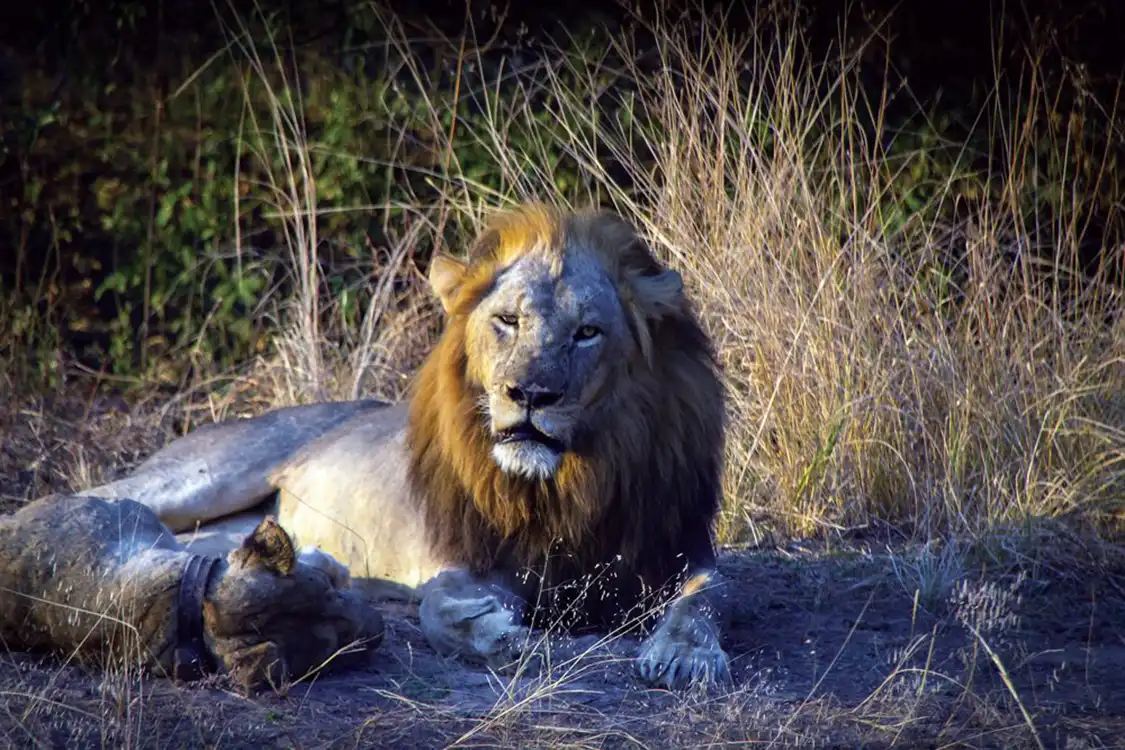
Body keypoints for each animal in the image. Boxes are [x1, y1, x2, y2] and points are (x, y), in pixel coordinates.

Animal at [88, 204, 732, 688]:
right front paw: (501, 635)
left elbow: (706, 599)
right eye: (506, 321)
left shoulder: (676, 548)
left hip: (221, 533)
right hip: (205, 474)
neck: (566, 484)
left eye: (587, 332)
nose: (529, 393)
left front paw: (685, 656)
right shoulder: (463, 559)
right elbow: (437, 610)